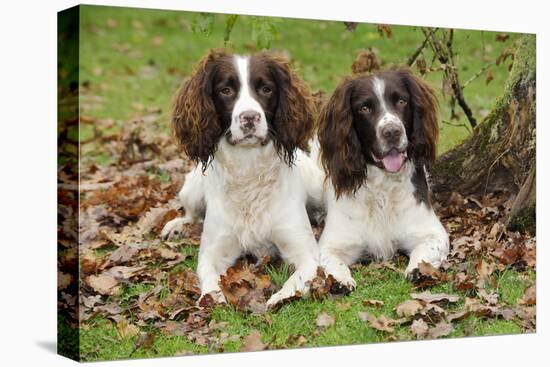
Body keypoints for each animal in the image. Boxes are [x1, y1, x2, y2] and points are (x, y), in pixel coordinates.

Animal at [161, 49, 324, 308]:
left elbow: (297, 279)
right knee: (191, 214)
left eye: (266, 89)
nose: (249, 118)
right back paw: (177, 226)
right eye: (226, 90)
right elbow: (210, 279)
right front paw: (213, 297)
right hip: (192, 190)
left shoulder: (305, 251)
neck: (248, 169)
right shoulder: (213, 252)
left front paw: (279, 297)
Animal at [316, 67, 450, 292]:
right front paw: (340, 280)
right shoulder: (332, 243)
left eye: (402, 101)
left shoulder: (433, 233)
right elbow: (331, 260)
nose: (392, 132)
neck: (383, 186)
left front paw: (419, 269)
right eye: (364, 108)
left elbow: (424, 249)